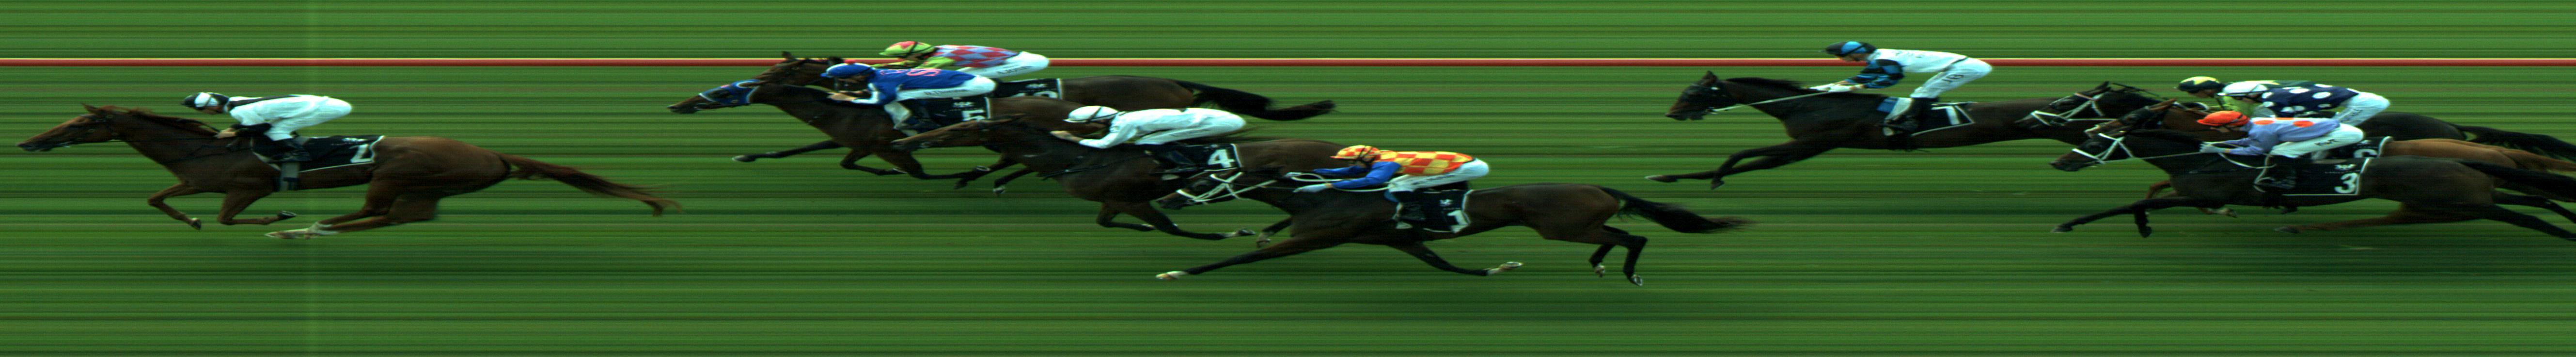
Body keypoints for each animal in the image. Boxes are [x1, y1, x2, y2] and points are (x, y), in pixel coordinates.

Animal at [666, 78, 1080, 187]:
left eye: (723, 93)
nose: (678, 106)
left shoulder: (888, 144)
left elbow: (919, 173)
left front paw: (961, 174)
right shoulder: (853, 141)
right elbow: (807, 153)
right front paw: (747, 155)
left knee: (1019, 158)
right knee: (1016, 158)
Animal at [886, 115, 1349, 240]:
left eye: (960, 129)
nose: (909, 140)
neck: (1078, 159)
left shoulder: (1131, 198)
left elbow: (1169, 228)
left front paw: (1226, 235)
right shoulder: (1113, 202)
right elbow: (1107, 223)